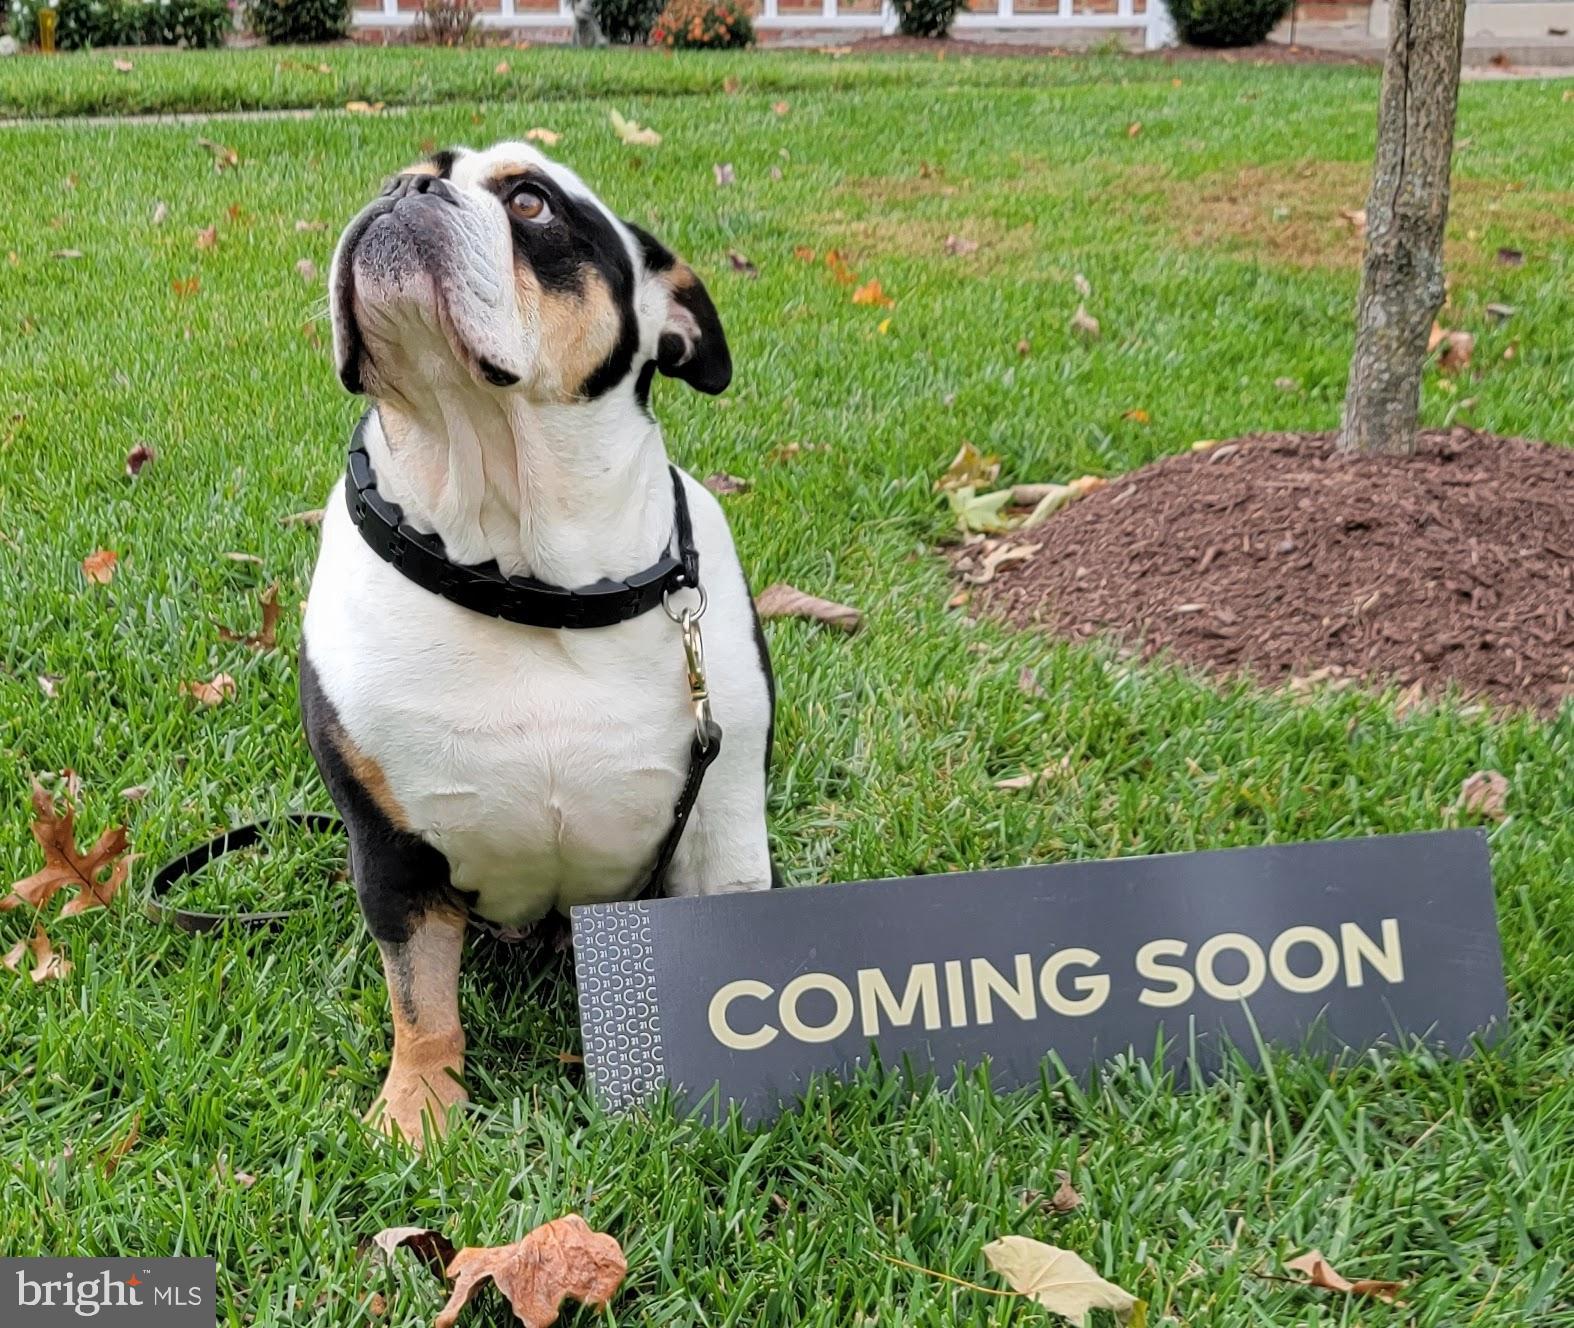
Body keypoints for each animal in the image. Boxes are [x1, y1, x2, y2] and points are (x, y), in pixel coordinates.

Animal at [299, 142, 774, 1139]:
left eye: (531, 202)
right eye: (405, 173)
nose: (406, 189)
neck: (529, 580)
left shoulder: (721, 831)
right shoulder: (393, 855)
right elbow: (420, 997)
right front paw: (420, 1108)